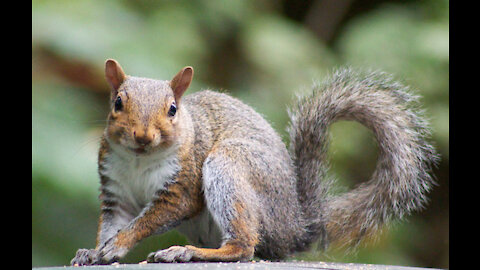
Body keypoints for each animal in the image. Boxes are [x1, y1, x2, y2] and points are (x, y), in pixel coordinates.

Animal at [70, 59, 438, 266]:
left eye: (173, 109)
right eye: (117, 103)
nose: (143, 136)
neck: (139, 161)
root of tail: (295, 227)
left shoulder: (182, 186)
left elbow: (149, 220)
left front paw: (118, 244)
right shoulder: (116, 191)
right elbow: (114, 223)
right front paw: (94, 252)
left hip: (229, 166)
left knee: (244, 247)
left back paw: (188, 252)